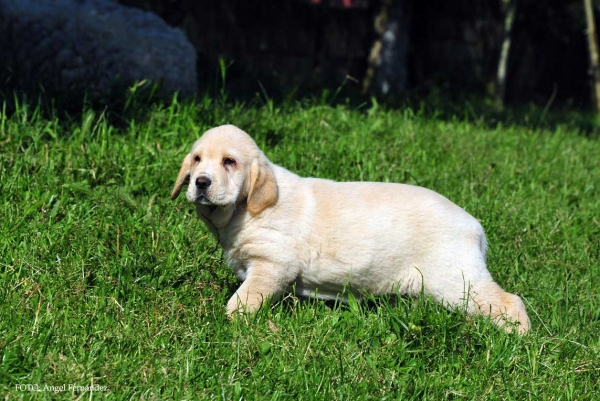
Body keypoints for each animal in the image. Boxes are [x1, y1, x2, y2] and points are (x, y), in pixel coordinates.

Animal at [170, 123, 528, 332]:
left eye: (229, 162)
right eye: (197, 159)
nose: (201, 182)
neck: (245, 209)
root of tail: (475, 226)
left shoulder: (272, 264)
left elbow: (243, 300)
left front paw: (230, 323)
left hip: (457, 281)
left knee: (509, 301)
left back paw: (516, 336)